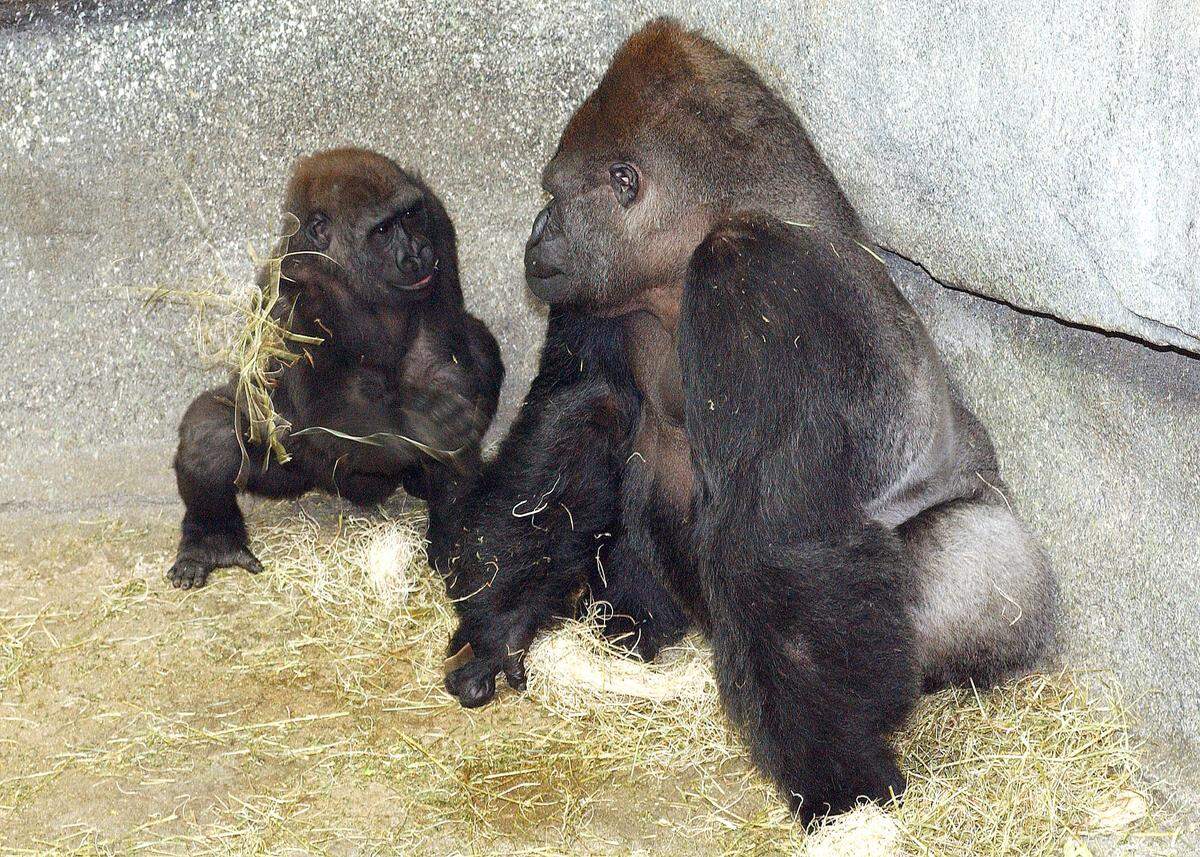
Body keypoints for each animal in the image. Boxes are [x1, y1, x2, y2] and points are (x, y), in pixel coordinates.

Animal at [169, 148, 503, 590]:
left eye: (409, 216)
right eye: (382, 230)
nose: (417, 253)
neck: (340, 269)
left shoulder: (435, 217)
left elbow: (437, 360)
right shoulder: (293, 300)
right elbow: (330, 409)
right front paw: (428, 425)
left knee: (478, 345)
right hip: (294, 474)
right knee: (212, 431)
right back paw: (211, 540)